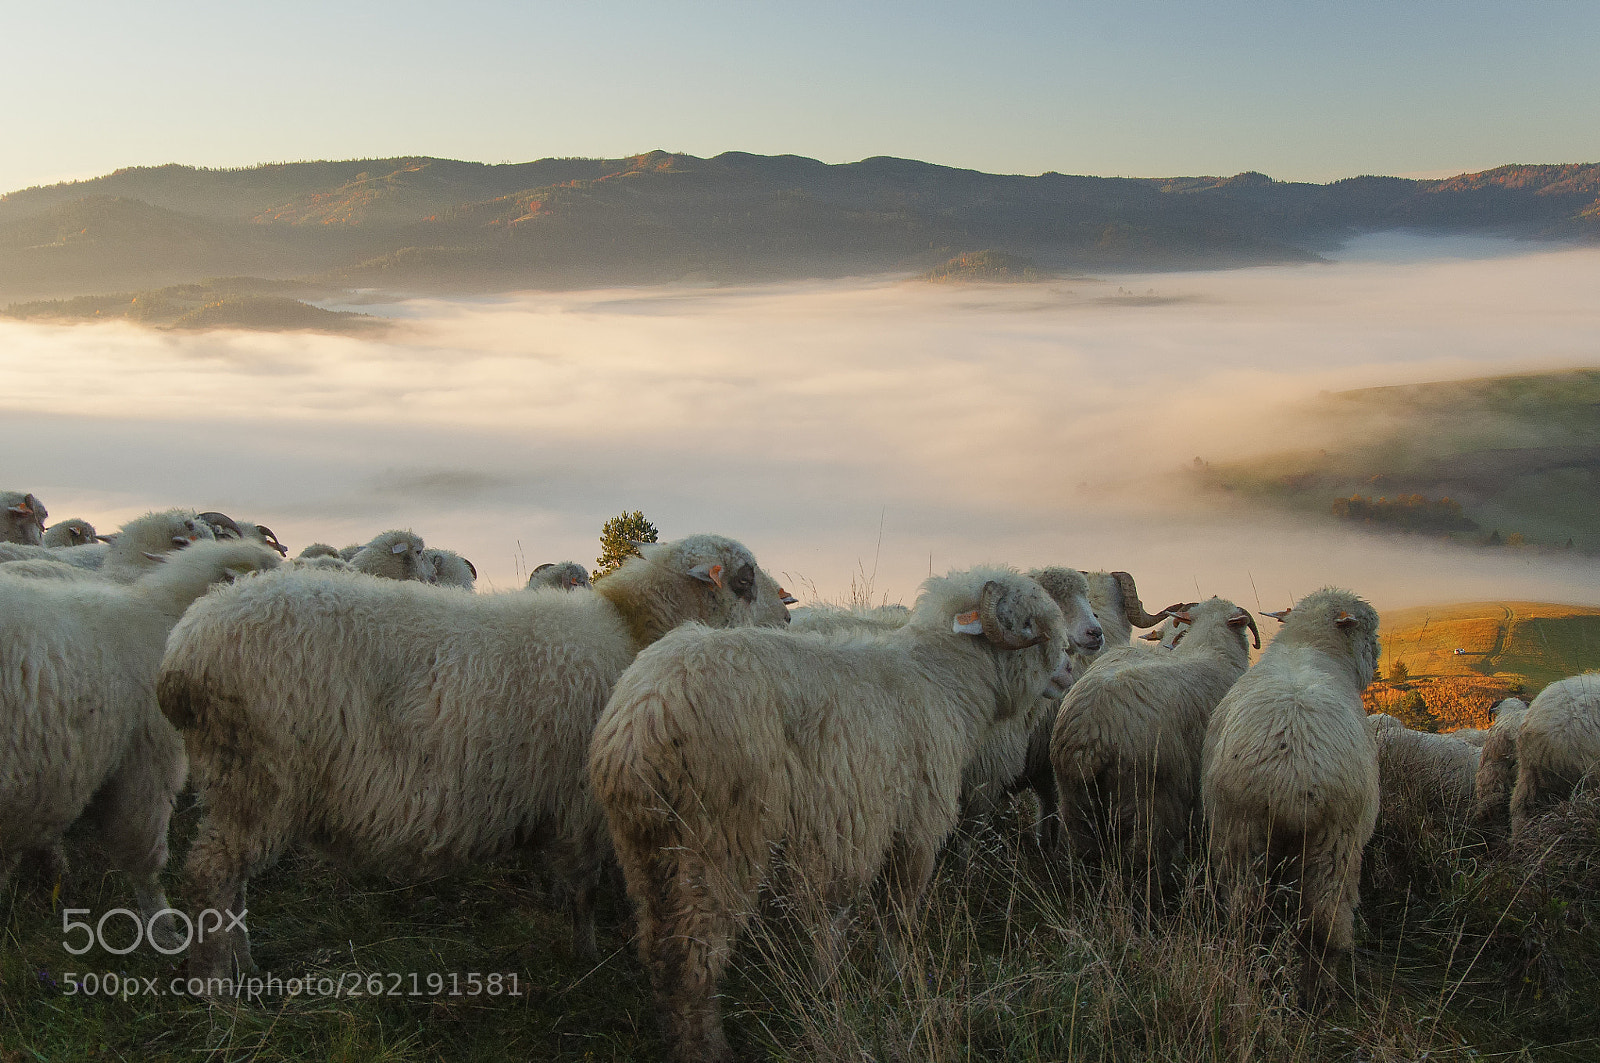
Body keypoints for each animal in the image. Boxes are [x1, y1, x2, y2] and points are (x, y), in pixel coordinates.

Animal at [157, 533, 762, 991]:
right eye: (745, 580)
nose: (778, 616)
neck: (630, 628)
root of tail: (183, 646)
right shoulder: (580, 804)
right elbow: (583, 889)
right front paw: (585, 954)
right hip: (258, 777)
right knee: (210, 875)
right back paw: (217, 988)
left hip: (237, 784)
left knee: (229, 881)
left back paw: (244, 966)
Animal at [589, 567, 1075, 1063]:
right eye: (1031, 626)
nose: (1071, 669)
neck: (942, 681)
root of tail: (643, 718)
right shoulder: (915, 825)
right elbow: (897, 912)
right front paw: (896, 975)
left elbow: (835, 920)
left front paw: (826, 984)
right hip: (715, 846)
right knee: (693, 958)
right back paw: (708, 1048)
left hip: (646, 850)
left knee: (659, 947)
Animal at [1051, 597, 1258, 889]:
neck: (1210, 648)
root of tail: (1090, 734)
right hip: (1151, 800)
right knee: (1143, 856)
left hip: (1074, 797)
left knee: (1083, 848)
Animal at [1200, 587, 1381, 1000]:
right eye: (1369, 629)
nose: (1376, 652)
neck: (1307, 645)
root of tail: (1291, 777)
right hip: (1337, 844)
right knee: (1326, 923)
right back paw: (1318, 994)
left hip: (1240, 833)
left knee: (1246, 912)